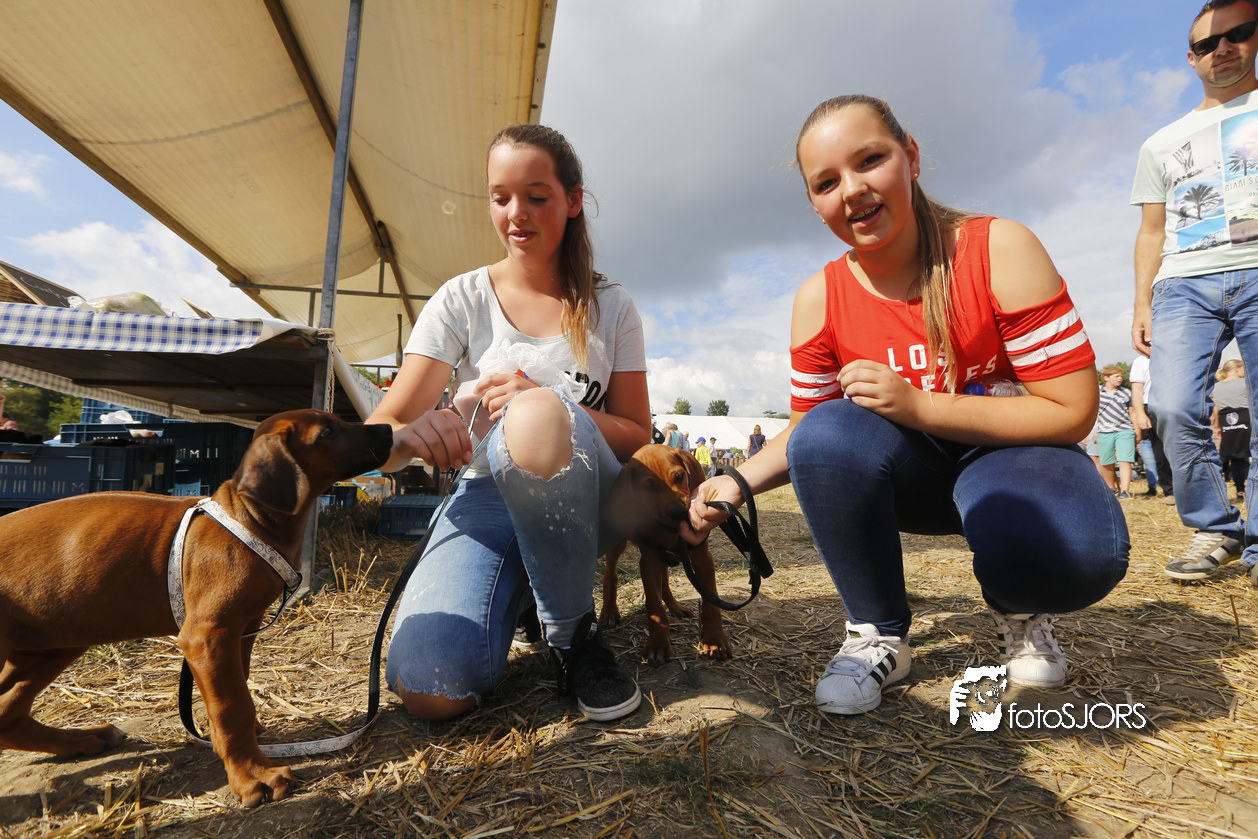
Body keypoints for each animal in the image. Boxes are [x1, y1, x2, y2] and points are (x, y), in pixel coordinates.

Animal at [0, 409, 391, 807]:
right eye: (327, 432)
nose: (388, 429)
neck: (250, 519)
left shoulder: (240, 630)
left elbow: (236, 690)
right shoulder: (207, 636)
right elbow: (232, 706)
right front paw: (252, 775)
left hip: (54, 644)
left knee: (8, 715)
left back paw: (82, 739)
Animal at [601, 443, 731, 664]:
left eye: (679, 476)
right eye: (648, 487)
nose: (680, 512)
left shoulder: (702, 558)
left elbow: (711, 602)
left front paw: (715, 640)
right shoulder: (649, 563)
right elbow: (655, 607)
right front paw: (658, 645)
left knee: (664, 584)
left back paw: (676, 607)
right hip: (617, 545)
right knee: (610, 575)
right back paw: (609, 611)